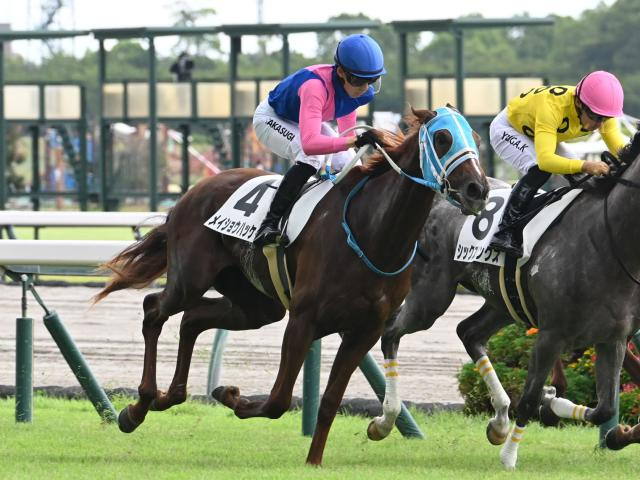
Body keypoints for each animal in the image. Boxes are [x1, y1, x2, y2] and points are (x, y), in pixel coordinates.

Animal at [94, 107, 489, 466]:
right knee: (154, 309)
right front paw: (234, 398)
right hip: (190, 280)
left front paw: (313, 461)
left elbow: (329, 401)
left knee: (192, 319)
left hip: (256, 305)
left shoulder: (366, 329)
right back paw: (137, 407)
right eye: (442, 138)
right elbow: (278, 400)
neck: (372, 232)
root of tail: (190, 194)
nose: (478, 189)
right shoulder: (303, 319)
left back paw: (167, 397)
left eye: (475, 137)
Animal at [369, 128, 640, 469]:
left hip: (503, 302)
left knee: (468, 332)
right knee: (392, 331)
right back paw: (385, 420)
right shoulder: (551, 335)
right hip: (431, 297)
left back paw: (498, 420)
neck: (606, 241)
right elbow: (530, 399)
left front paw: (558, 406)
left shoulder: (613, 338)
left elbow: (605, 408)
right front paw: (510, 455)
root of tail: (439, 196)